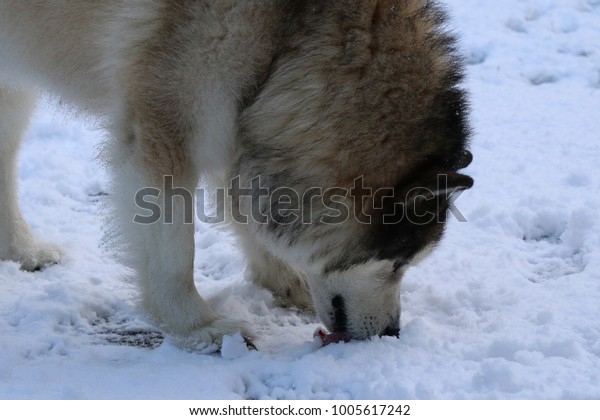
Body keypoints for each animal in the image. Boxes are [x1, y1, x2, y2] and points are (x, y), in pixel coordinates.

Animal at [2, 0, 476, 348]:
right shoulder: (165, 132)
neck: (292, 37)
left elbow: (249, 215)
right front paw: (196, 326)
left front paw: (286, 284)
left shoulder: (245, 120)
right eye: (398, 264)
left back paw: (23, 250)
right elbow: (175, 252)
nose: (392, 333)